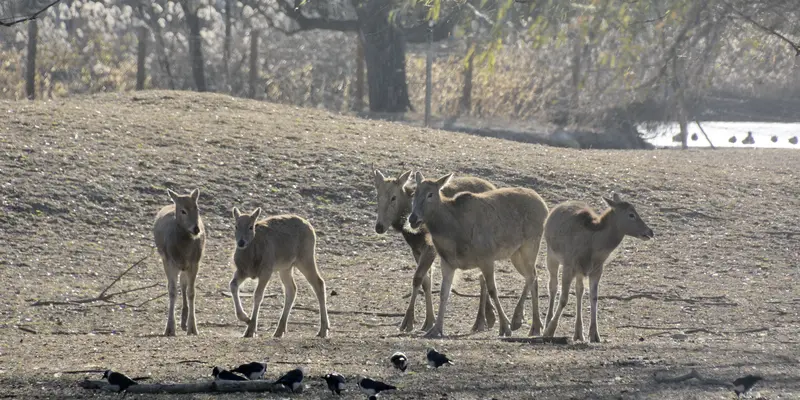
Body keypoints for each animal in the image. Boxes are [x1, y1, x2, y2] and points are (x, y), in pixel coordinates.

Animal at [152, 189, 205, 336]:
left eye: (197, 207)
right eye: (183, 211)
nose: (196, 229)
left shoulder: (194, 263)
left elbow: (191, 292)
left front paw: (193, 328)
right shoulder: (169, 262)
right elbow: (172, 291)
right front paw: (169, 328)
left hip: (185, 266)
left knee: (184, 284)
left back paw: (184, 320)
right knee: (179, 285)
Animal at [230, 208, 330, 340]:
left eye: (251, 227)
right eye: (236, 226)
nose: (241, 242)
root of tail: (309, 226)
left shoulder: (266, 271)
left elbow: (258, 295)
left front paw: (251, 329)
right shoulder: (242, 271)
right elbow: (233, 285)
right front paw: (246, 319)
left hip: (305, 258)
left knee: (318, 283)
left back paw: (323, 330)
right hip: (286, 268)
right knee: (292, 289)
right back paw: (279, 331)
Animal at [374, 170, 500, 332]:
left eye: (393, 197)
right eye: (377, 196)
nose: (379, 227)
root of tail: (493, 186)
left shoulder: (430, 247)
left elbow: (417, 278)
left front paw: (408, 321)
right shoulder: (416, 250)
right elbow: (426, 282)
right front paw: (429, 320)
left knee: (483, 276)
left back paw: (482, 320)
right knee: (481, 275)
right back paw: (486, 318)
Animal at [406, 172, 552, 338]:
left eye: (430, 194)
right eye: (414, 193)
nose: (412, 218)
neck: (452, 232)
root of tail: (544, 206)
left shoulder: (486, 258)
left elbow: (493, 290)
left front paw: (505, 326)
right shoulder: (447, 262)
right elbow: (444, 293)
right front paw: (436, 329)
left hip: (530, 244)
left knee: (532, 276)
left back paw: (524, 322)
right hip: (516, 252)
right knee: (532, 276)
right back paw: (530, 324)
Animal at [540, 192, 652, 342]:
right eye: (631, 214)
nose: (650, 231)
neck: (593, 247)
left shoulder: (597, 270)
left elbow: (593, 297)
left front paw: (594, 335)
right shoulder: (569, 265)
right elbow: (563, 298)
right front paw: (549, 331)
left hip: (579, 271)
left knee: (579, 290)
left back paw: (578, 333)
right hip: (551, 255)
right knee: (552, 286)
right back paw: (547, 323)